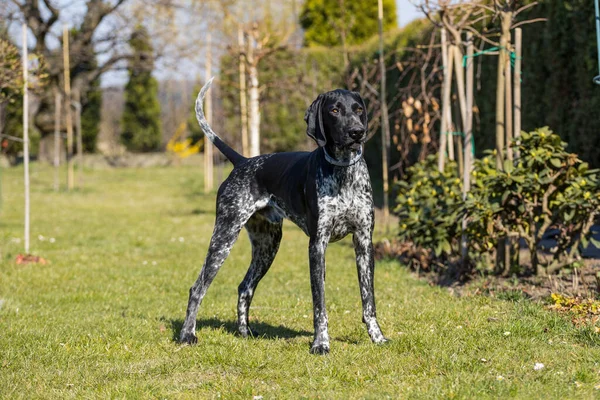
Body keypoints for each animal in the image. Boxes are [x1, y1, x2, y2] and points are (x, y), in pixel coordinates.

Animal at [178, 79, 386, 354]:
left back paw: (245, 332)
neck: (343, 172)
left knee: (244, 287)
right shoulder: (317, 245)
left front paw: (377, 337)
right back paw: (187, 334)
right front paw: (321, 343)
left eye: (358, 109)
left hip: (267, 246)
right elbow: (320, 304)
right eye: (334, 110)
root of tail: (243, 162)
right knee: (198, 287)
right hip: (224, 236)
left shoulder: (363, 241)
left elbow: (368, 300)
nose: (357, 132)